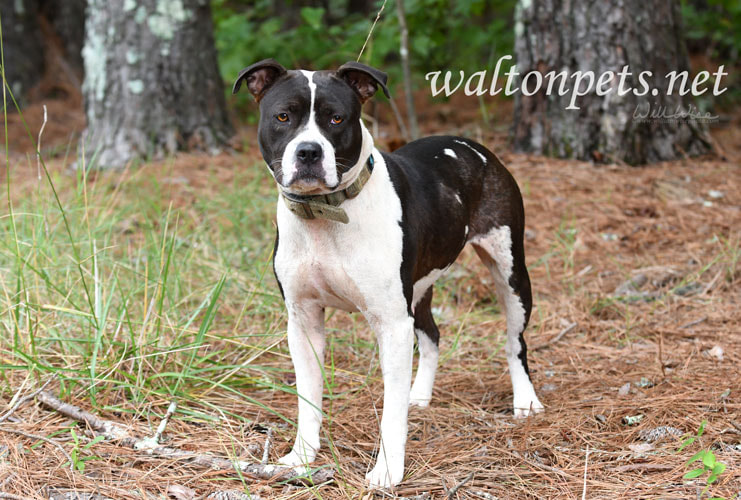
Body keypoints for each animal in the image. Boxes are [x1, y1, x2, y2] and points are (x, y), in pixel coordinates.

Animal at [231, 59, 544, 488]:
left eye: (336, 118)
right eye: (283, 117)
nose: (309, 151)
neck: (325, 215)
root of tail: (473, 146)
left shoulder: (392, 324)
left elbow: (392, 412)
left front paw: (388, 471)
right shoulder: (303, 320)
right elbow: (308, 399)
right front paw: (300, 459)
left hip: (511, 273)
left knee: (515, 342)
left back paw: (525, 400)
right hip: (419, 290)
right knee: (432, 335)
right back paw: (420, 394)